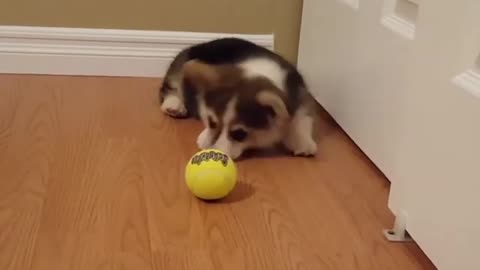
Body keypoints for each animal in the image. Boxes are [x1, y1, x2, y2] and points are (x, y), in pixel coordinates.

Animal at [158, 37, 318, 159]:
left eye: (239, 134)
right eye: (211, 122)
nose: (212, 152)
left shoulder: (301, 95)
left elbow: (302, 119)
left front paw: (303, 142)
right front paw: (204, 138)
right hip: (181, 65)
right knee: (172, 86)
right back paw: (174, 105)